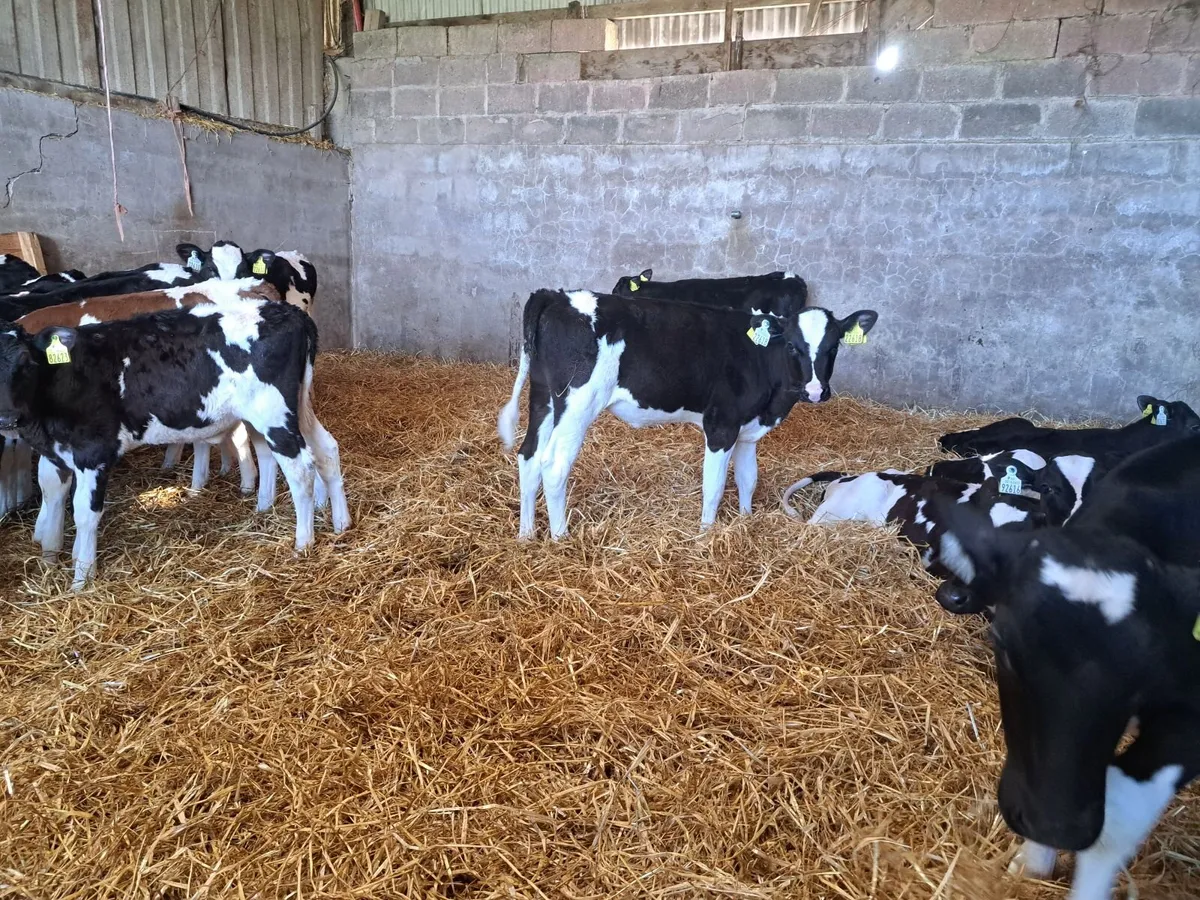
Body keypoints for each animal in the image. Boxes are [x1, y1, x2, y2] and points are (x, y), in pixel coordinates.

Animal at [0, 298, 350, 589]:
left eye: (27, 364)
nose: (7, 417)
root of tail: (288, 311)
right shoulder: (54, 454)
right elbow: (52, 497)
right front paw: (49, 559)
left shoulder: (93, 452)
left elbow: (84, 514)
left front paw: (81, 580)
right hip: (295, 409)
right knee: (326, 450)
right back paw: (338, 522)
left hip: (274, 414)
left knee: (301, 468)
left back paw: (303, 542)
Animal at [497, 288, 877, 539]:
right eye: (793, 346)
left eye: (833, 347)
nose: (815, 391)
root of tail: (557, 295)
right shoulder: (721, 424)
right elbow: (714, 486)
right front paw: (706, 533)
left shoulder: (748, 429)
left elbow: (748, 478)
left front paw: (746, 519)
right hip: (578, 403)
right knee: (553, 464)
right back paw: (561, 536)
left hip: (544, 397)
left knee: (529, 456)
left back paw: (527, 534)